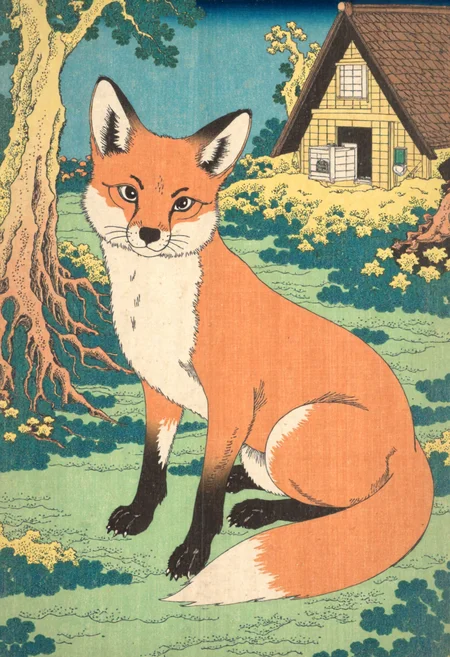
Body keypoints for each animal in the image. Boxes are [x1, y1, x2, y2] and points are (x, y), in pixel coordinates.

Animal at [83, 77, 434, 605]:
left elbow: (204, 493)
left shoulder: (231, 403)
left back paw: (258, 511)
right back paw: (244, 484)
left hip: (290, 432)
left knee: (336, 511)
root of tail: (413, 444)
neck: (154, 304)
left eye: (182, 204)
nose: (148, 234)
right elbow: (152, 468)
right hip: (266, 443)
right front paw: (140, 515)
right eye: (128, 192)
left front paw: (192, 553)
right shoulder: (159, 391)